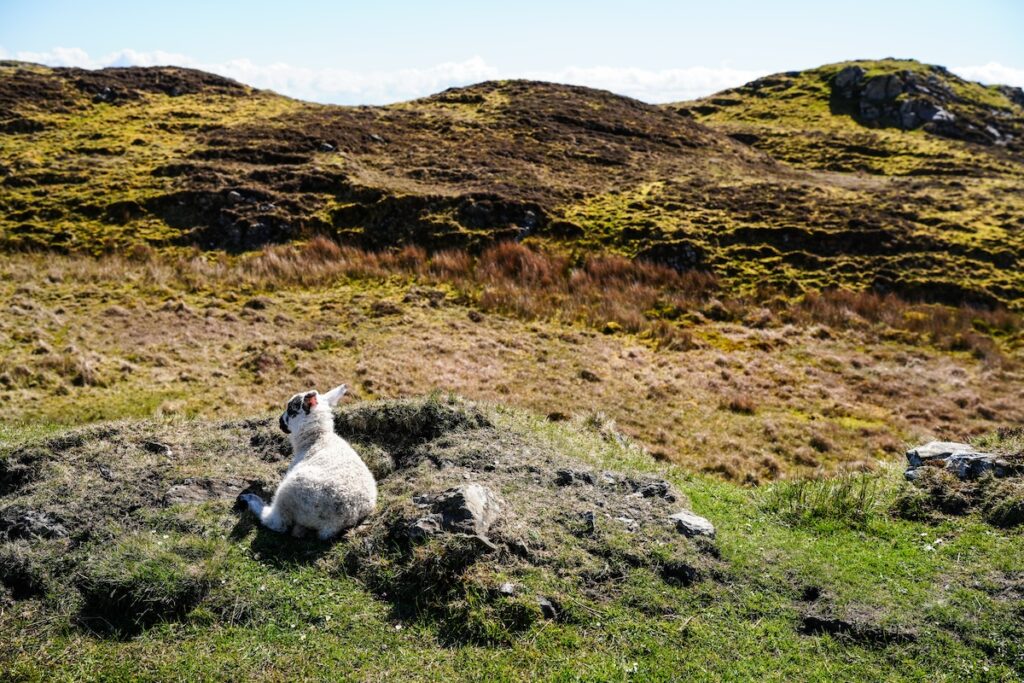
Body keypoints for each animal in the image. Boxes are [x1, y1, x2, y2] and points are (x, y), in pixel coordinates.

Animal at [238, 385, 376, 540]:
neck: (316, 439)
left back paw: (251, 500)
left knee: (278, 523)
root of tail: (337, 521)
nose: (280, 422)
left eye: (291, 410)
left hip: (288, 494)